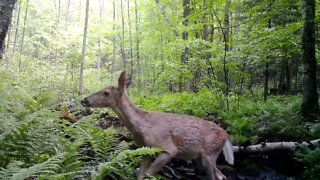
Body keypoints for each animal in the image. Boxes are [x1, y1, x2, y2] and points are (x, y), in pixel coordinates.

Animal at [81, 71, 234, 180]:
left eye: (106, 92)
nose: (84, 100)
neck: (141, 126)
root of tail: (226, 134)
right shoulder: (146, 149)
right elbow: (140, 175)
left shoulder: (168, 148)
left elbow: (148, 174)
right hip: (201, 158)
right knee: (221, 176)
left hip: (210, 152)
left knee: (216, 176)